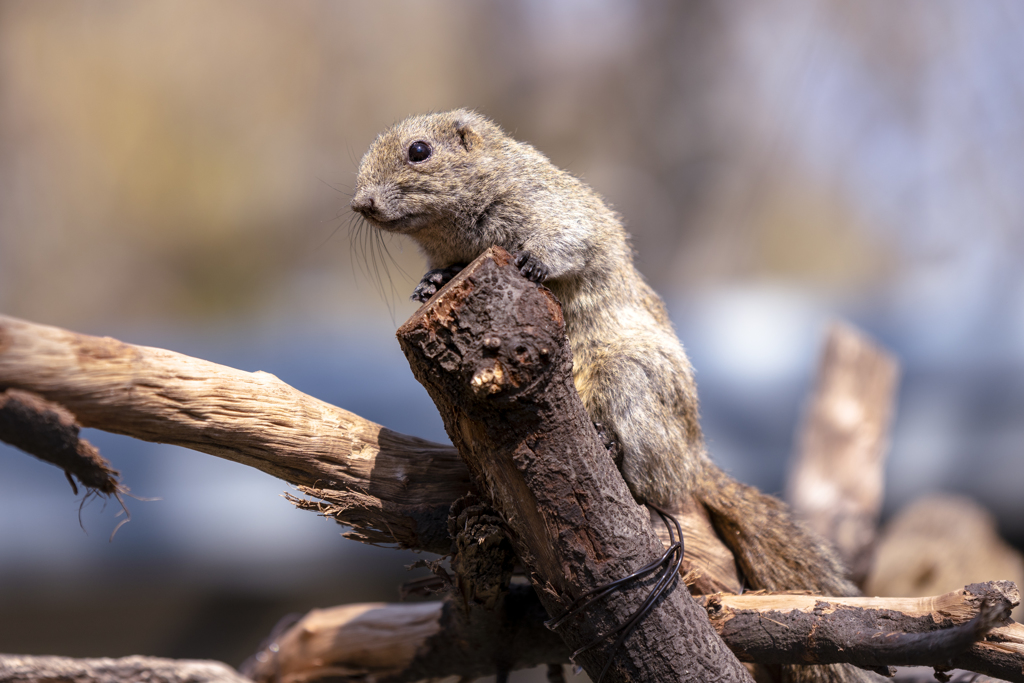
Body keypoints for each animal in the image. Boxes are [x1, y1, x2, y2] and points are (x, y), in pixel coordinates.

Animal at [354, 109, 880, 679]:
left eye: (419, 151)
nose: (361, 203)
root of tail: (695, 461)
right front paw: (432, 284)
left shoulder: (560, 210)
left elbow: (571, 243)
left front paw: (533, 264)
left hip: (628, 382)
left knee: (651, 481)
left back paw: (612, 449)